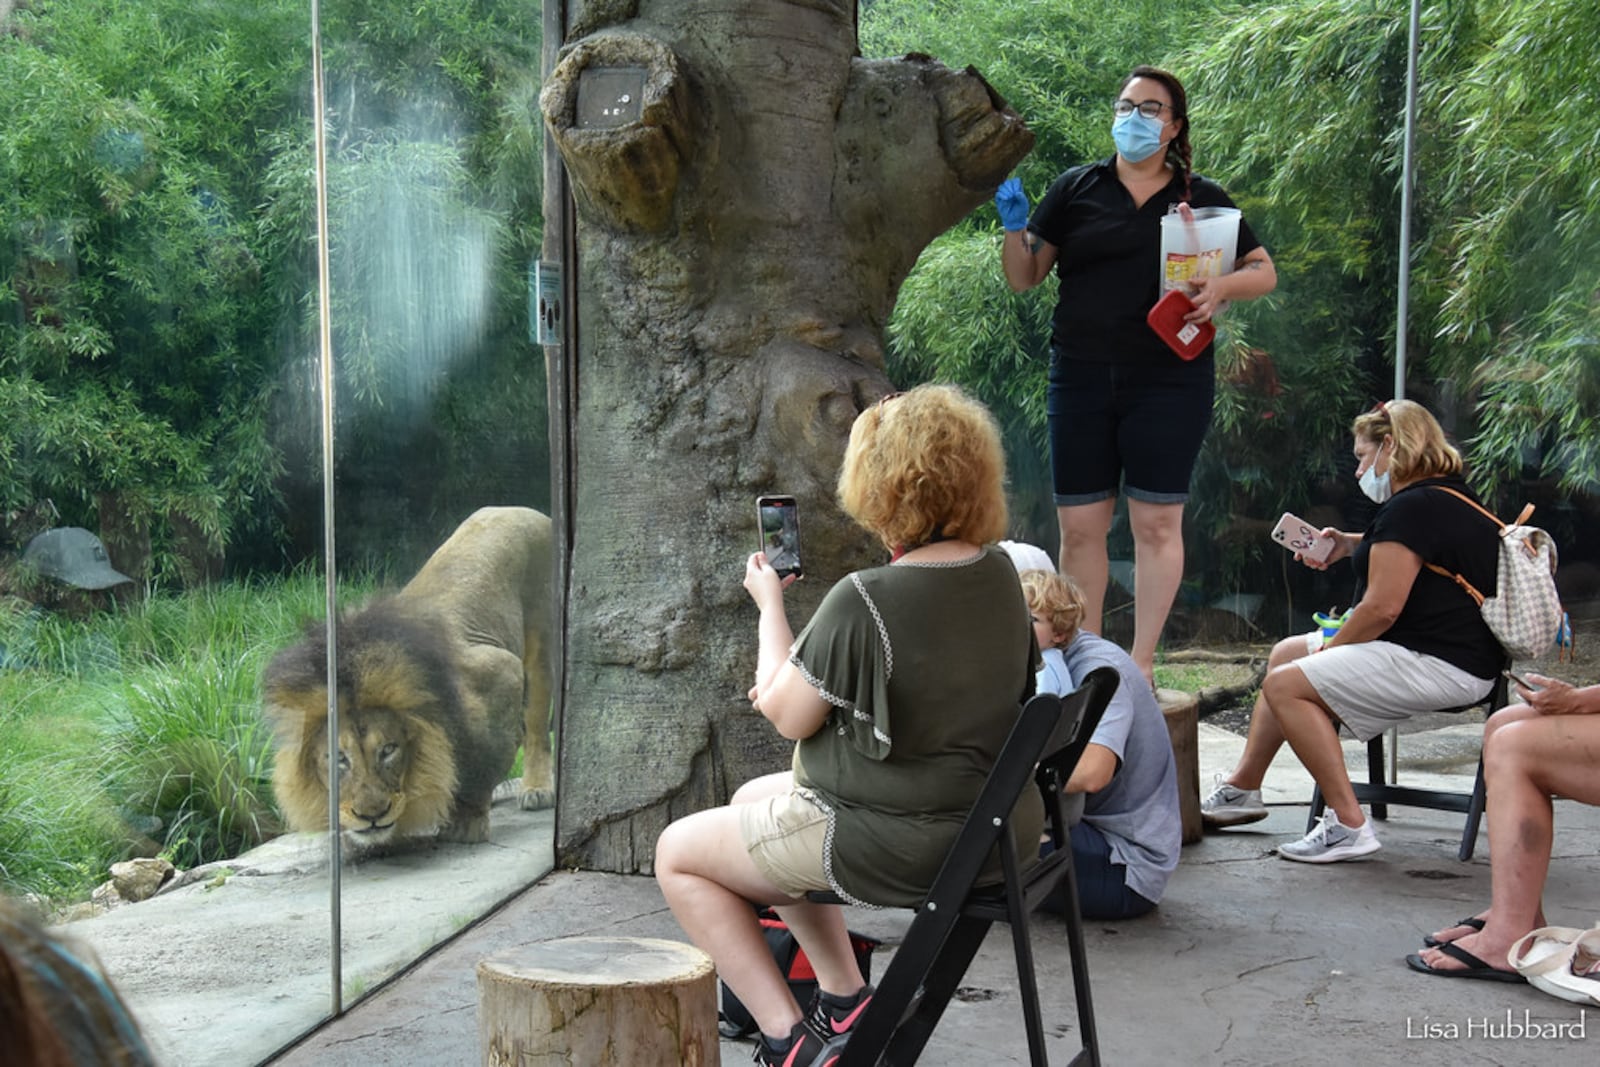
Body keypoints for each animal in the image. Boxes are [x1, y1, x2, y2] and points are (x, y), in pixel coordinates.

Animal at [262, 505, 556, 844]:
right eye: (339, 758)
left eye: (388, 750)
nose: (371, 815)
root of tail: (518, 509)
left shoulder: (501, 672)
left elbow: (489, 756)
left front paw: (466, 821)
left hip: (541, 644)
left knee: (535, 727)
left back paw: (537, 788)